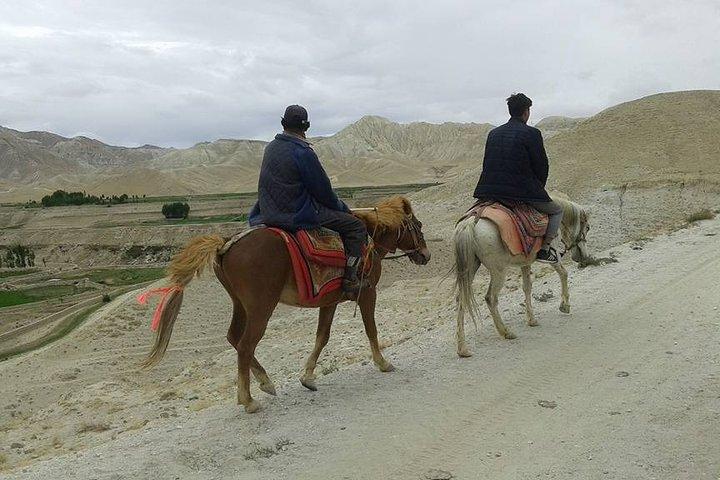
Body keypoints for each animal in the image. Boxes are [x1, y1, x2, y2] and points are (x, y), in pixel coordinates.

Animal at [142, 196, 431, 413]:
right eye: (418, 225)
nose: (425, 256)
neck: (369, 237)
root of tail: (224, 245)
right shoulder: (368, 293)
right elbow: (371, 329)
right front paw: (383, 363)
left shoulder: (330, 301)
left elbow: (322, 337)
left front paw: (308, 377)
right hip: (261, 308)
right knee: (245, 344)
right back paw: (248, 400)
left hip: (240, 305)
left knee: (234, 338)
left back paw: (265, 382)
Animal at [452, 194, 590, 357]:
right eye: (587, 228)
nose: (584, 257)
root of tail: (471, 222)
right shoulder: (555, 255)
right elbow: (563, 273)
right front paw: (565, 306)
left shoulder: (525, 263)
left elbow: (527, 287)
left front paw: (532, 320)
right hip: (498, 270)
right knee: (490, 298)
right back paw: (506, 332)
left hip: (469, 269)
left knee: (461, 299)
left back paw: (462, 348)